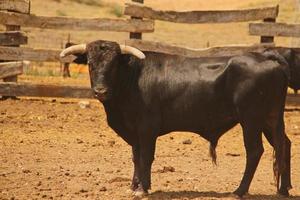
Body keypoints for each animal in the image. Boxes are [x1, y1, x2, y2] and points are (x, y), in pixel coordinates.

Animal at [59, 40, 292, 197]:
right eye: (90, 64)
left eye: (113, 65)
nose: (100, 91)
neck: (131, 79)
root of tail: (266, 57)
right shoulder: (134, 132)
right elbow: (136, 157)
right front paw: (135, 185)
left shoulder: (147, 128)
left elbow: (146, 157)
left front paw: (143, 188)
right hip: (271, 120)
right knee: (284, 145)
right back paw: (284, 189)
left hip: (251, 120)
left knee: (255, 151)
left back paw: (239, 190)